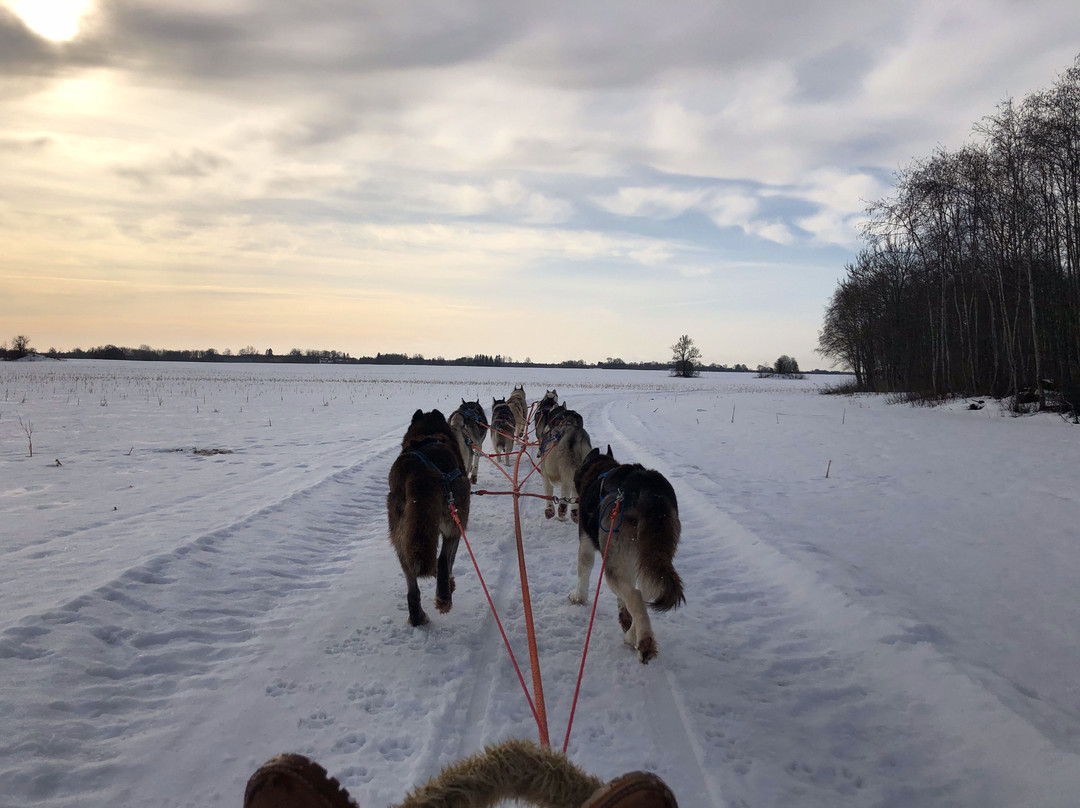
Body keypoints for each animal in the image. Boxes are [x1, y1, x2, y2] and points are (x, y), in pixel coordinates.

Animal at [390, 410, 470, 626]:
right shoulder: (455, 528)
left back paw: (417, 617)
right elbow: (448, 561)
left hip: (400, 537)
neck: (427, 434)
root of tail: (420, 471)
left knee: (412, 585)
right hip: (454, 521)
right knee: (442, 561)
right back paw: (444, 597)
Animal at [574, 442, 682, 661]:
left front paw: (578, 597)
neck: (600, 469)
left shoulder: (587, 543)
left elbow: (584, 569)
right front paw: (624, 615)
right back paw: (634, 635)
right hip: (649, 557)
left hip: (615, 561)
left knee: (636, 595)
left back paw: (644, 640)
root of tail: (648, 489)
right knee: (644, 592)